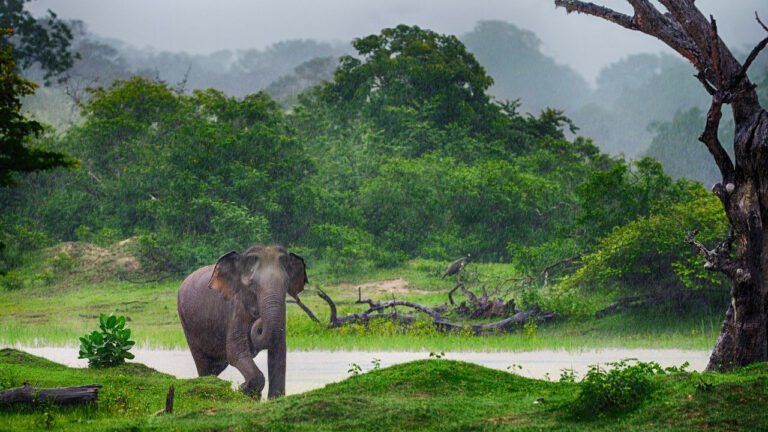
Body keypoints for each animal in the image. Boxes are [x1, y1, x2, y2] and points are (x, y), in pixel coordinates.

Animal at [177, 245, 307, 400]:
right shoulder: (235, 308)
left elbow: (279, 349)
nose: (259, 320)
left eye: (286, 284)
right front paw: (243, 389)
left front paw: (272, 398)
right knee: (203, 364)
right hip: (187, 323)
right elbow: (235, 352)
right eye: (252, 285)